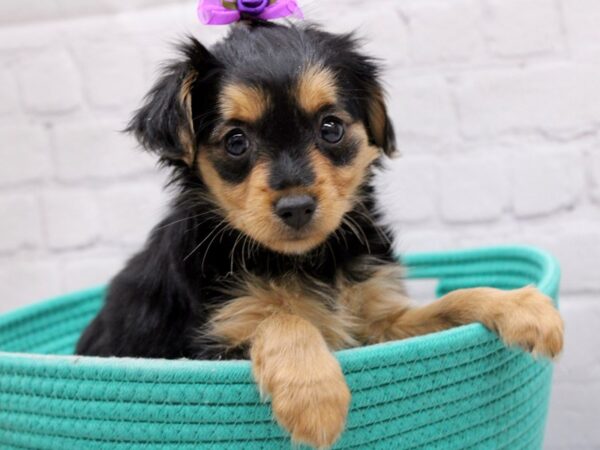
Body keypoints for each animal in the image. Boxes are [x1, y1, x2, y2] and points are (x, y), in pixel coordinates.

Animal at [77, 22, 564, 450]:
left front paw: (519, 306)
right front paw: (315, 397)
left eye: (330, 128)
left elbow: (448, 303)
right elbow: (281, 318)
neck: (307, 259)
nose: (296, 206)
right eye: (236, 141)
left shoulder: (377, 323)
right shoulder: (204, 347)